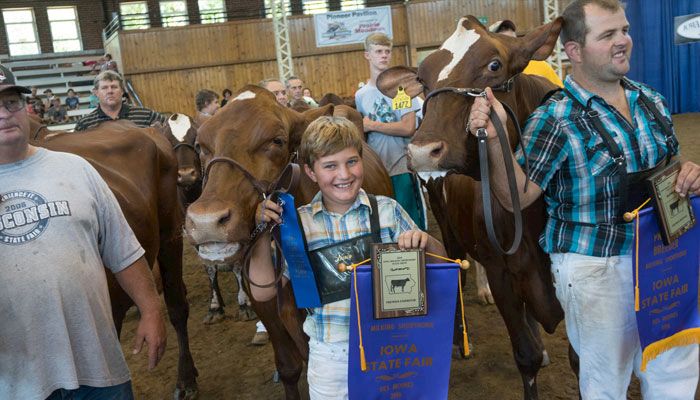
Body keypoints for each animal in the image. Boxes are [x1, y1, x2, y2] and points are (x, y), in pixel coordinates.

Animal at [380, 16, 568, 400]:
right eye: (423, 79)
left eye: (494, 66)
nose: (422, 151)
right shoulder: (502, 272)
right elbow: (525, 355)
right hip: (446, 224)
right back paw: (459, 337)